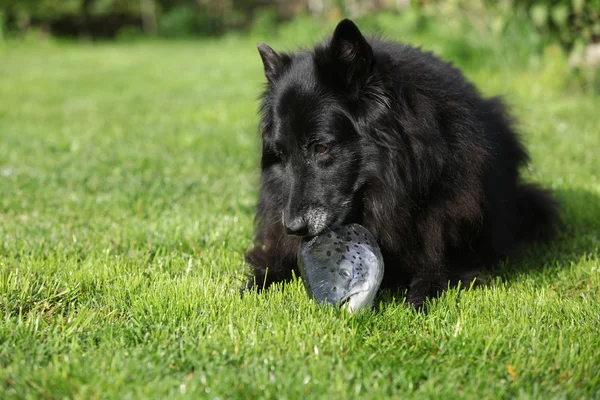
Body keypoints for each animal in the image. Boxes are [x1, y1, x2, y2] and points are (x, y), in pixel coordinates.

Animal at [243, 18, 556, 308]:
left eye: (320, 147)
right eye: (281, 155)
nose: (292, 227)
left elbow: (435, 270)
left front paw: (418, 299)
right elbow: (271, 265)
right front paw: (249, 288)